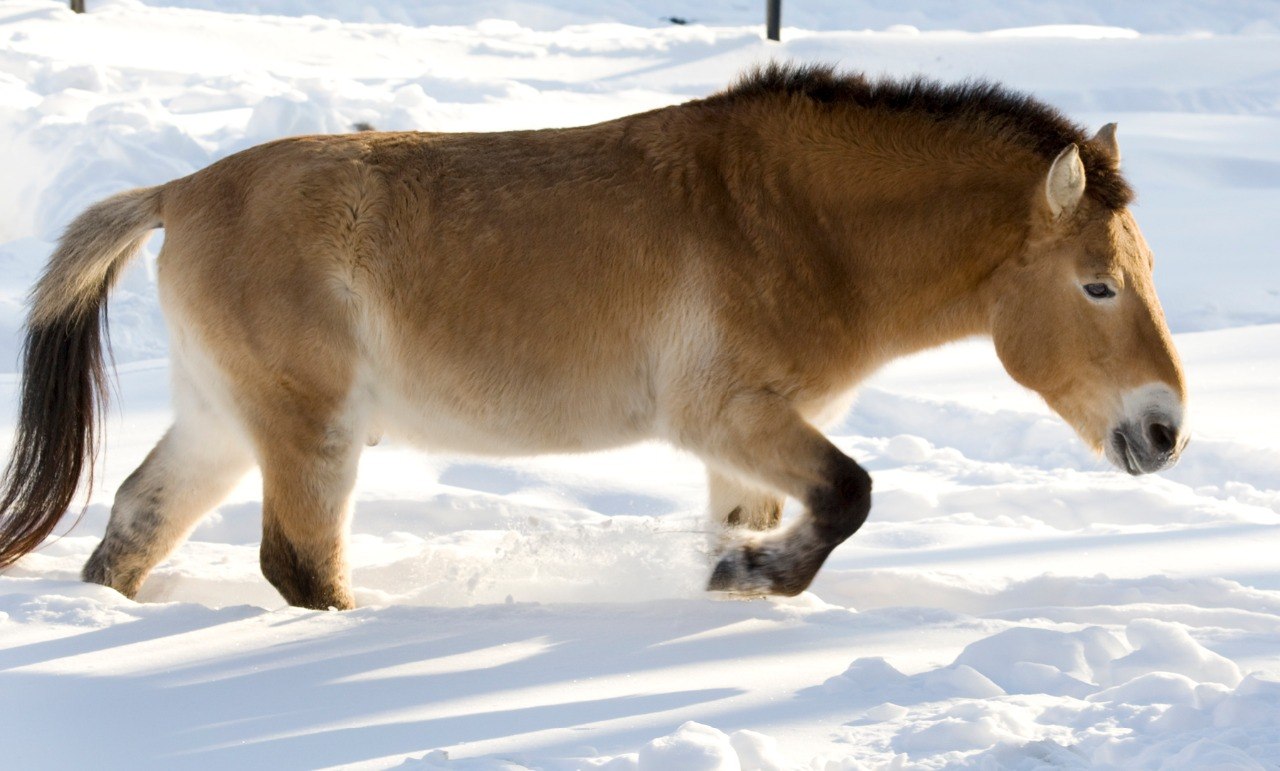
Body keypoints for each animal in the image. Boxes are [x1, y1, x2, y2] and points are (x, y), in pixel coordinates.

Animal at [0, 64, 1187, 607]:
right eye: (1095, 286)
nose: (1165, 430)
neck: (789, 223)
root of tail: (179, 192)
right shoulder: (726, 416)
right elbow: (851, 495)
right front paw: (755, 576)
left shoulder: (742, 447)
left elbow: (771, 521)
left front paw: (739, 579)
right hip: (310, 429)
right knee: (298, 563)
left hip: (220, 419)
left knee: (133, 527)